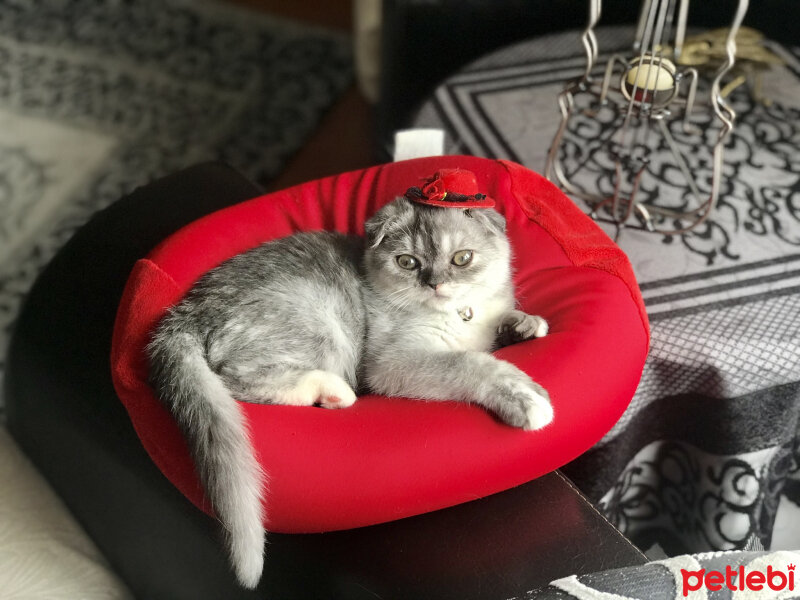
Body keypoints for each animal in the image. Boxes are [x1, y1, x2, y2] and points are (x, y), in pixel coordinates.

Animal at [147, 195, 552, 588]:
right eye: (407, 262)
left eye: (462, 258)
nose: (435, 284)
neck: (456, 315)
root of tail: (185, 316)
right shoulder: (392, 362)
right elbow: (467, 364)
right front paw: (524, 396)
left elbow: (497, 326)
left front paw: (523, 323)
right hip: (317, 321)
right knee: (232, 377)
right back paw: (331, 391)